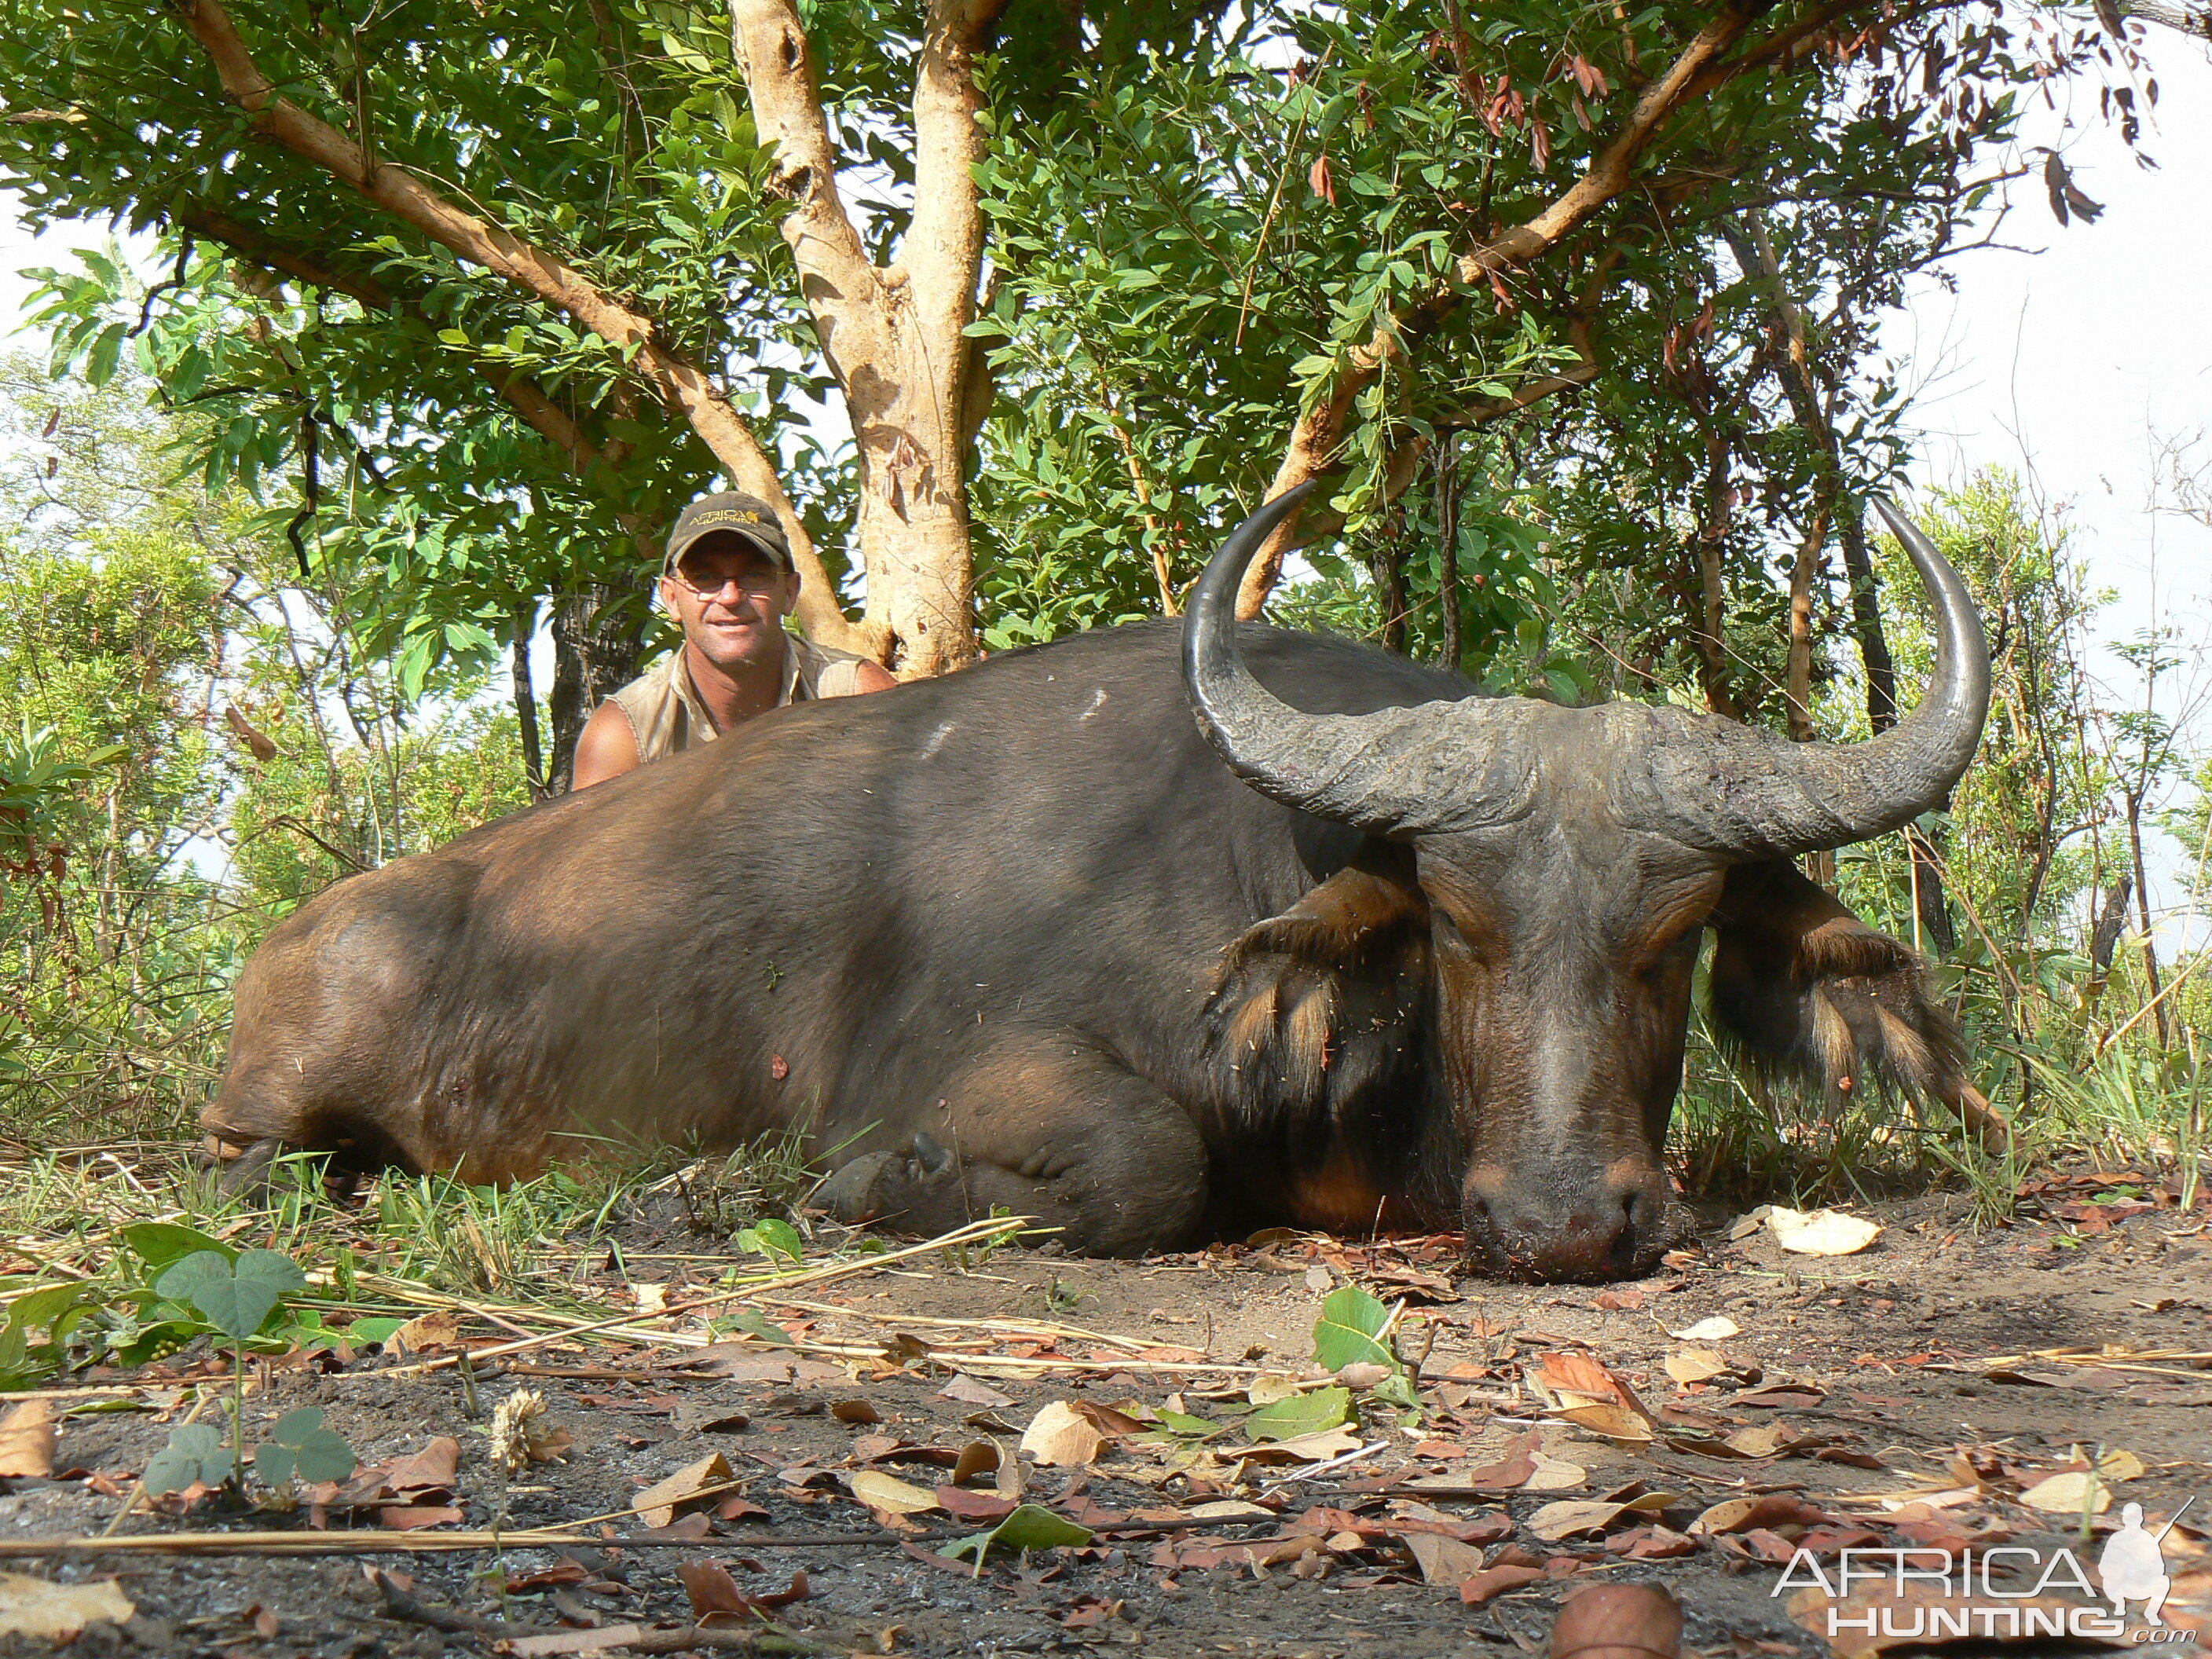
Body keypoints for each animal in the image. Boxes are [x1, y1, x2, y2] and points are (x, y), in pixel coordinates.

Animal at [215, 486, 1999, 1283]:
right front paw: (844, 1194)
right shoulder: (977, 1077)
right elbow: (1147, 1167)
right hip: (270, 1119)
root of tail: (305, 936)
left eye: (1673, 941)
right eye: (1457, 928)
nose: (1563, 1224)